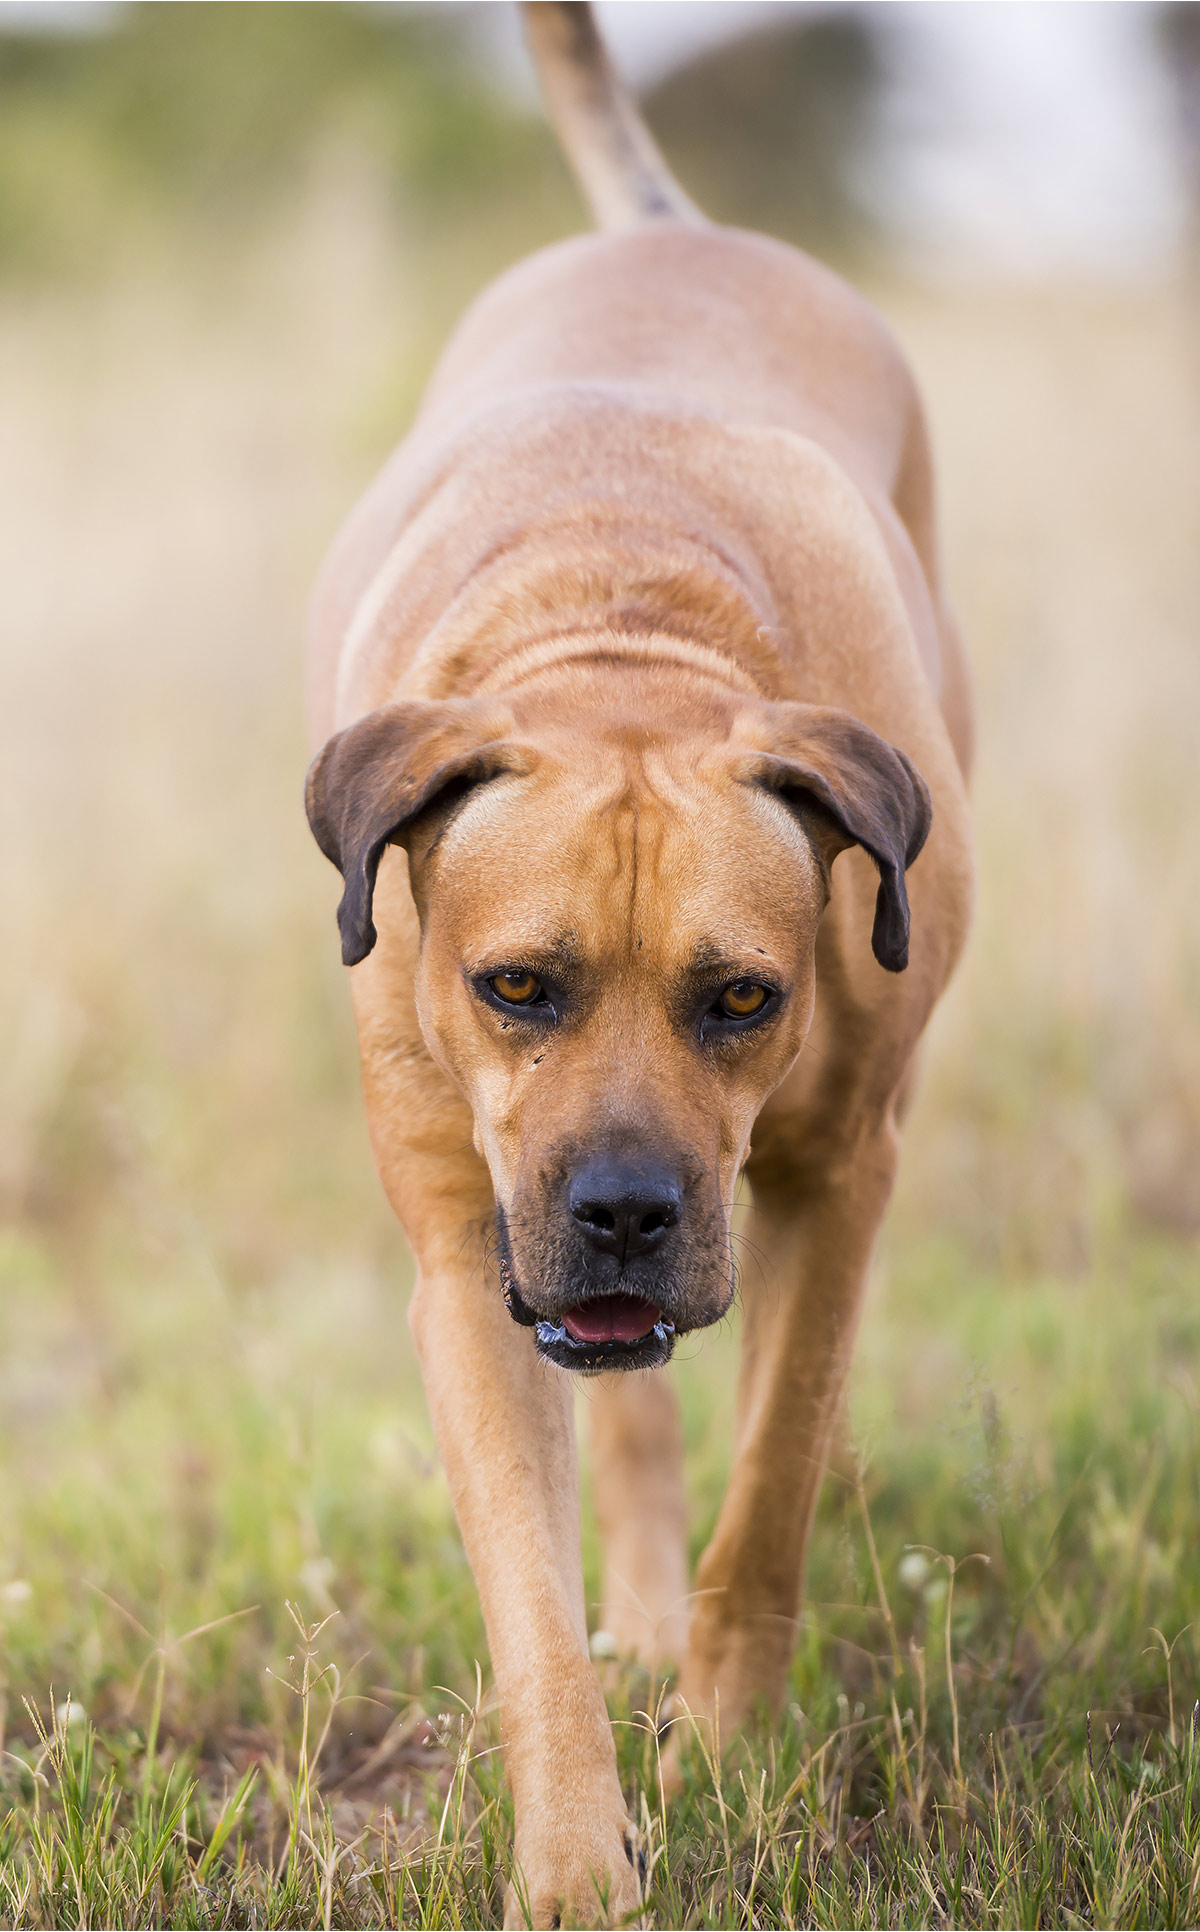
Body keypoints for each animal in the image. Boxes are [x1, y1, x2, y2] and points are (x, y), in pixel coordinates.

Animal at [303, 7, 970, 1924]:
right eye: (514, 986)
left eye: (743, 996)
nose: (620, 1211)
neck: (621, 636)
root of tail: (675, 225)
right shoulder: (468, 1260)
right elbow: (529, 1596)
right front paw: (575, 1854)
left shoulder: (840, 1171)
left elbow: (777, 1483)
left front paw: (729, 1751)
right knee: (632, 1430)